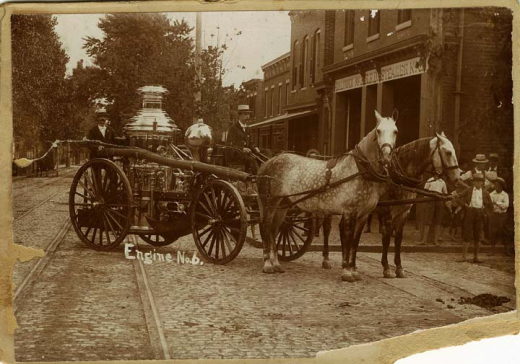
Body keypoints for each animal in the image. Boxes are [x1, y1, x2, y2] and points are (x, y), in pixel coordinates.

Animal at [256, 111, 398, 282]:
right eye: (378, 131)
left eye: (395, 131)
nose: (386, 157)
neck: (358, 170)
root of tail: (269, 162)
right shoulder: (350, 212)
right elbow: (348, 240)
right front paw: (346, 271)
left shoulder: (363, 215)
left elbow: (355, 243)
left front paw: (354, 270)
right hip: (269, 202)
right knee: (265, 227)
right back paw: (267, 264)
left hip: (283, 204)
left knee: (273, 229)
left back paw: (276, 263)